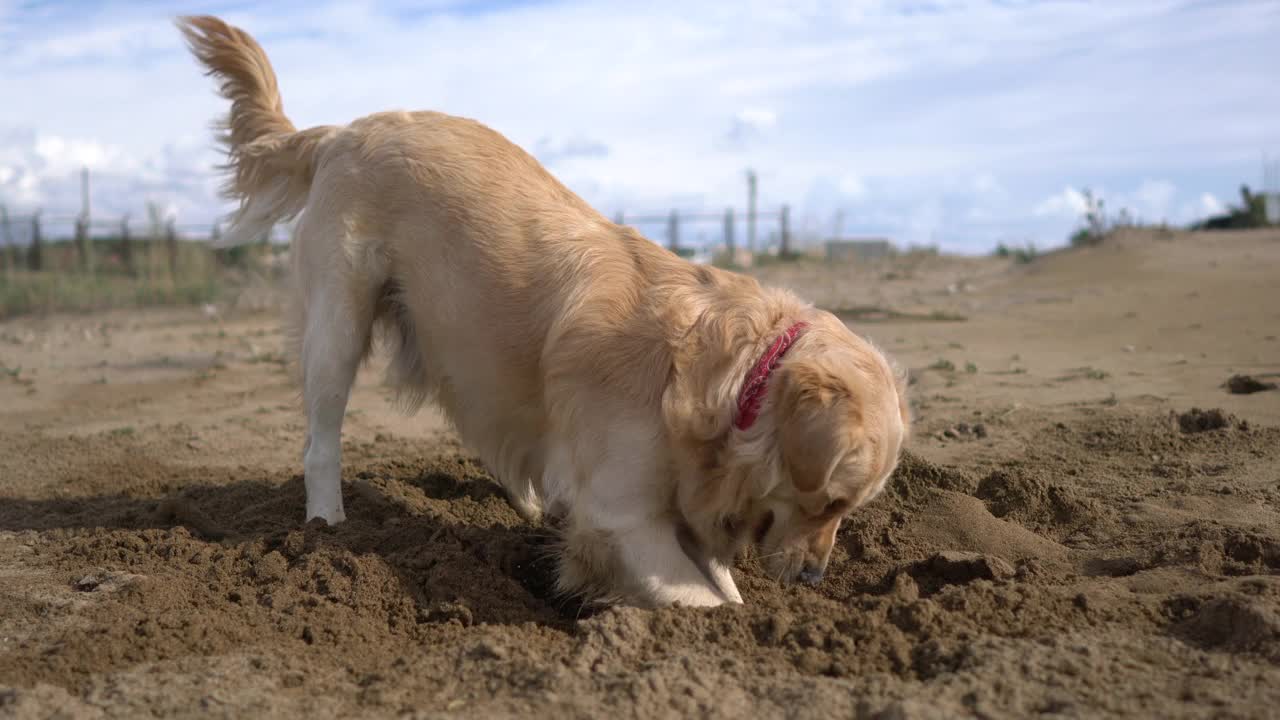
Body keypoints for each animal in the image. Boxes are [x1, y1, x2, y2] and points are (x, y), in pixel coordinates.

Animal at [180, 15, 911, 604]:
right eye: (831, 500)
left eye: (849, 509)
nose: (816, 578)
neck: (726, 383)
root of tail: (344, 129)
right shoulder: (621, 515)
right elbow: (705, 601)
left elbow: (718, 581)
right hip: (338, 321)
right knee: (320, 441)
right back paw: (326, 523)